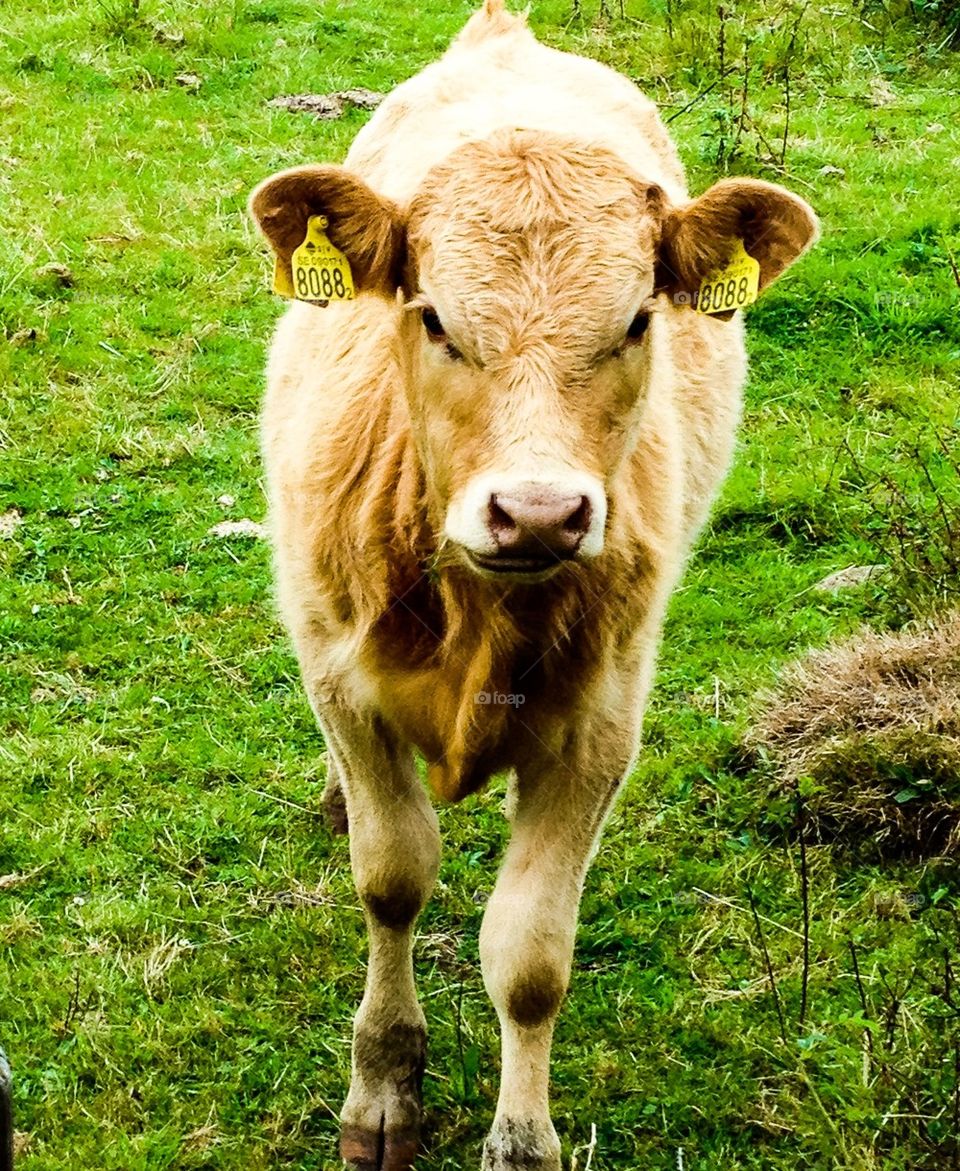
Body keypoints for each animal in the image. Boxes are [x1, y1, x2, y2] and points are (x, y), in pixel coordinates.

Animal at [248, 2, 817, 1167]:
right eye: (431, 316)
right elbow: (393, 875)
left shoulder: (599, 722)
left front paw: (521, 1136)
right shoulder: (343, 681)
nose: (542, 511)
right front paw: (384, 1086)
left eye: (638, 321)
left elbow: (530, 955)